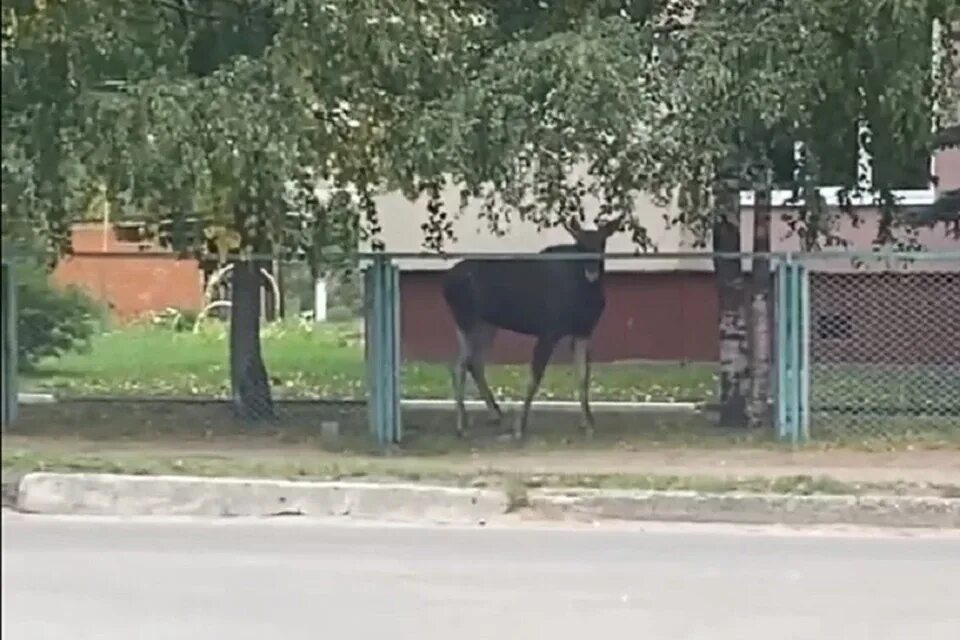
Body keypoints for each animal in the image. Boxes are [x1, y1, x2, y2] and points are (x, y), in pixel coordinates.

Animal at [440, 215, 628, 440]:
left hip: (486, 326)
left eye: (602, 243)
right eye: (579, 244)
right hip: (466, 320)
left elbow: (583, 377)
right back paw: (462, 425)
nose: (591, 272)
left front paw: (588, 423)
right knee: (458, 366)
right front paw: (519, 427)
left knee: (474, 363)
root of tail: (445, 283)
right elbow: (534, 377)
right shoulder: (549, 331)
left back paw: (494, 413)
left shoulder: (583, 332)